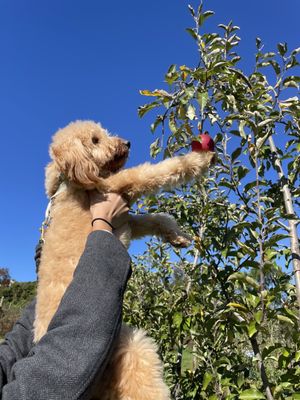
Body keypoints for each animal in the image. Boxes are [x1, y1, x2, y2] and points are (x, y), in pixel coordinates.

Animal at [34, 119, 213, 400]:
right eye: (95, 140)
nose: (127, 143)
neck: (77, 181)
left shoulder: (125, 219)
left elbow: (156, 219)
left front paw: (178, 237)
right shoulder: (117, 186)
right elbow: (155, 172)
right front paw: (200, 159)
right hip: (131, 347)